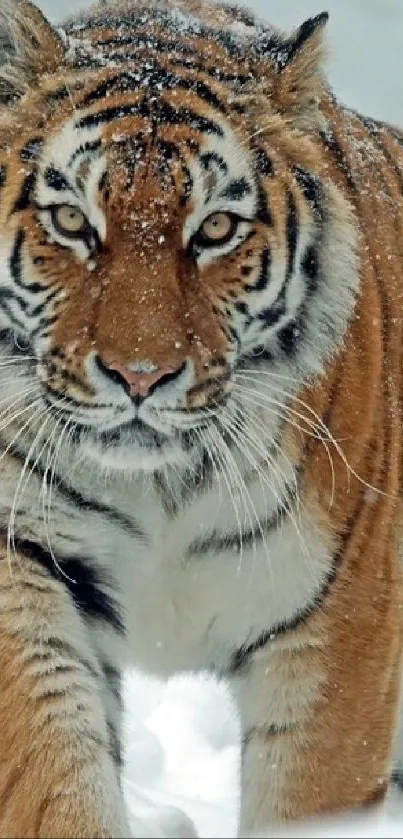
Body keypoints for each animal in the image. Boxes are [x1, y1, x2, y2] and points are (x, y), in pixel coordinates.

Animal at [0, 0, 403, 836]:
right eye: (71, 221)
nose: (139, 375)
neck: (160, 485)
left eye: (215, 229)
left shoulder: (340, 625)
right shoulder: (24, 559)